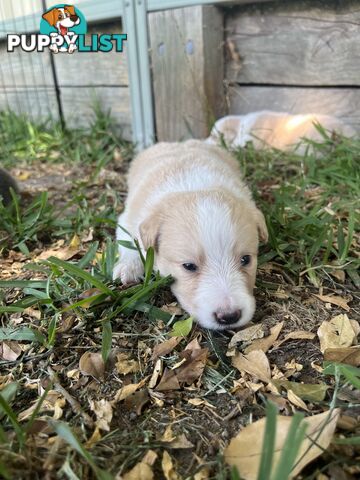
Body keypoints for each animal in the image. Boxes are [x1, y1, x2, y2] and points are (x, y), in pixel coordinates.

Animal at [112, 140, 268, 330]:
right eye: (189, 266)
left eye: (246, 259)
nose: (229, 317)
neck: (194, 187)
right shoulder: (129, 219)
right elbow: (129, 240)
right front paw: (128, 268)